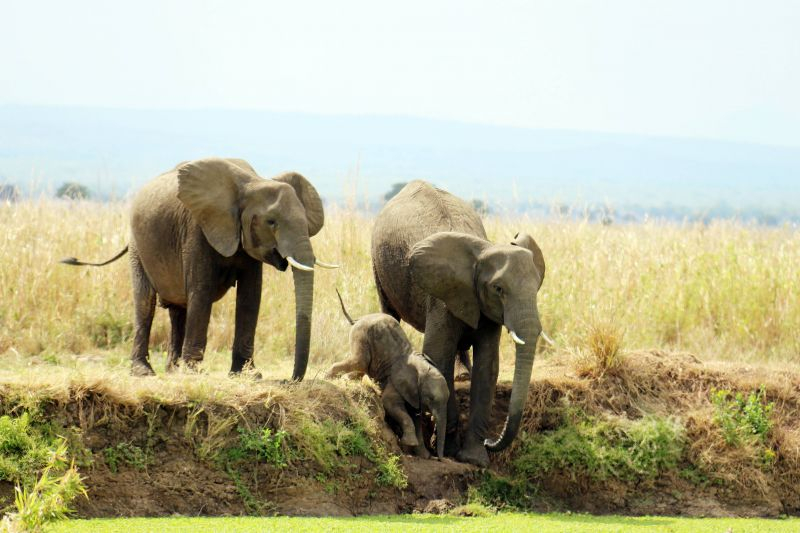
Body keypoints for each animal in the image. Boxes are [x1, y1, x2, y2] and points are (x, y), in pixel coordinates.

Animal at [61, 158, 334, 378]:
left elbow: (250, 296)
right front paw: (195, 372)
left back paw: (173, 371)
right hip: (138, 248)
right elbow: (202, 291)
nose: (291, 379)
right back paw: (144, 372)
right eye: (271, 222)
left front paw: (247, 375)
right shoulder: (197, 229)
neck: (253, 182)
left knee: (178, 309)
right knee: (146, 303)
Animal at [326, 288, 450, 460]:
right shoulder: (396, 381)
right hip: (361, 335)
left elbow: (416, 417)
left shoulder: (414, 394)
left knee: (361, 366)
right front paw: (411, 444)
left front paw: (423, 455)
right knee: (359, 362)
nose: (438, 458)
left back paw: (346, 380)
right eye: (431, 399)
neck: (421, 368)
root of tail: (358, 319)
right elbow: (391, 404)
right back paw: (327, 378)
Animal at [372, 182, 548, 466]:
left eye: (537, 288)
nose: (491, 442)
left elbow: (488, 365)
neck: (481, 253)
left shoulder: (483, 307)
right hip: (379, 265)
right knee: (389, 309)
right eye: (498, 289)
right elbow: (438, 358)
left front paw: (474, 459)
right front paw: (452, 452)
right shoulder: (442, 299)